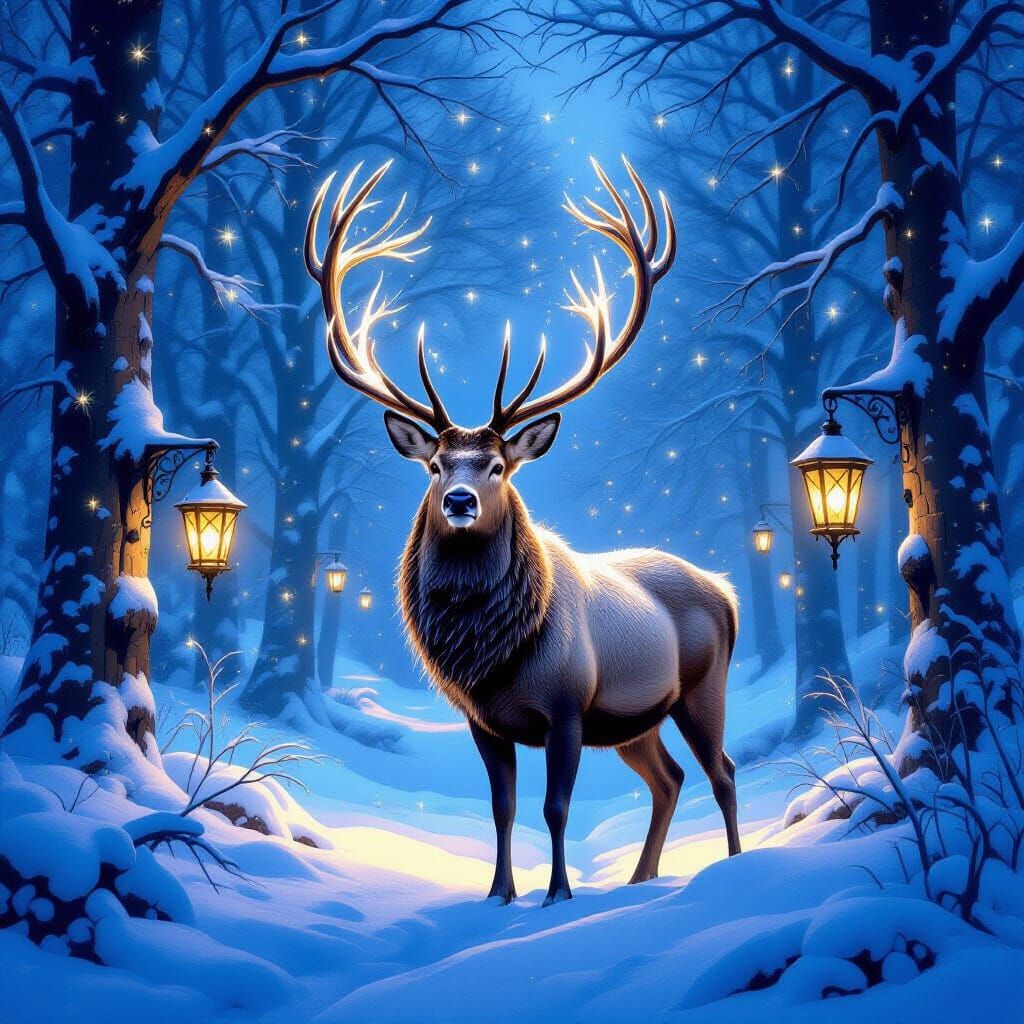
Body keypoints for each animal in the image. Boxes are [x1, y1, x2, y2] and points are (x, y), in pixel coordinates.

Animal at [304, 157, 741, 906]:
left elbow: (555, 806)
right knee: (670, 778)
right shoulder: (482, 719)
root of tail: (727, 591)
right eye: (436, 464)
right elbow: (502, 807)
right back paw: (640, 877)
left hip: (701, 689)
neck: (493, 654)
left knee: (723, 773)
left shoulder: (568, 705)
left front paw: (558, 894)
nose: (458, 500)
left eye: (499, 466)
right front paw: (499, 893)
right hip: (635, 721)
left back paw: (737, 865)